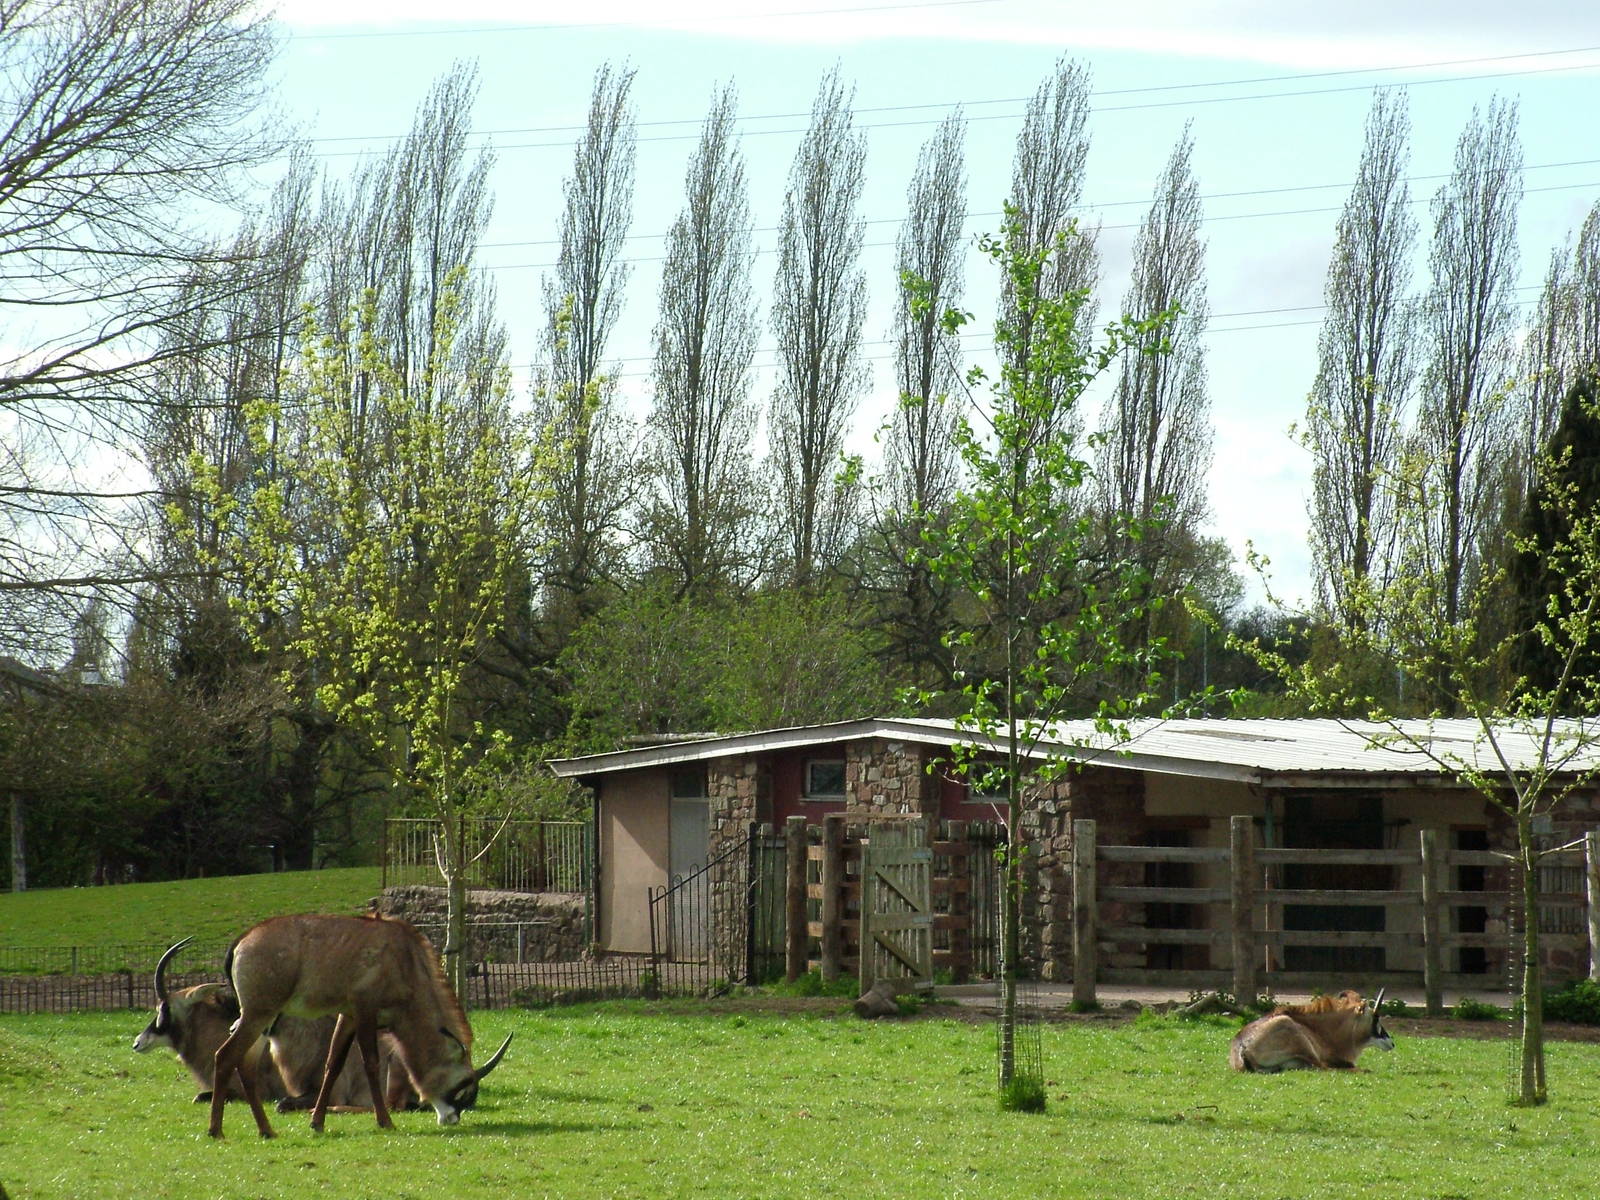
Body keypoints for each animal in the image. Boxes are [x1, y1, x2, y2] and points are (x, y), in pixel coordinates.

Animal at [208, 913, 511, 1138]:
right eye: (464, 1085)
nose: (451, 1118)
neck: (405, 959)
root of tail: (242, 941)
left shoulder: (348, 1015)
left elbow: (333, 1063)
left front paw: (317, 1123)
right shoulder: (366, 1010)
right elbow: (371, 1063)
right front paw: (385, 1121)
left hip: (261, 1019)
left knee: (244, 1063)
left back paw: (266, 1131)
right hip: (258, 1014)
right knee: (225, 1055)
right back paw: (216, 1131)